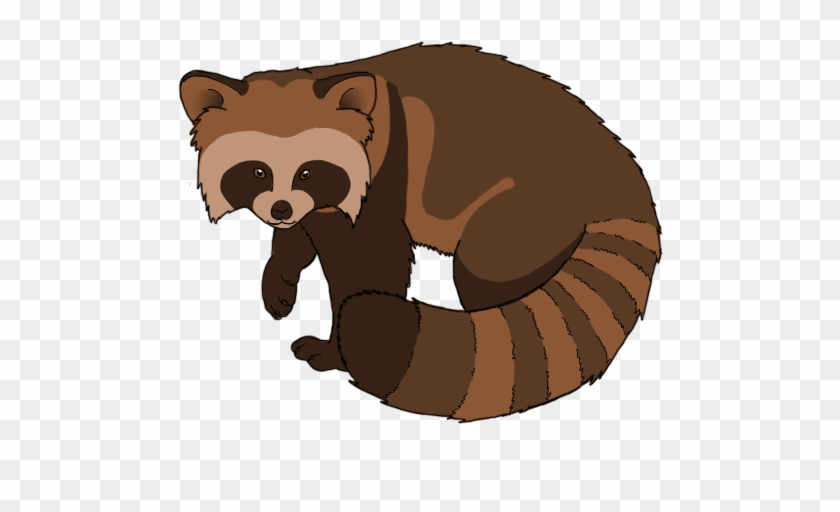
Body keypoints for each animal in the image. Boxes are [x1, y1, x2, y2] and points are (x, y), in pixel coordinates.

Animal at [179, 43, 661, 421]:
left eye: (308, 171)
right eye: (257, 171)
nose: (280, 209)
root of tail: (617, 175)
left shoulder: (383, 183)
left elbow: (368, 272)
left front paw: (336, 351)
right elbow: (302, 237)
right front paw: (280, 272)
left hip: (524, 212)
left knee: (485, 278)